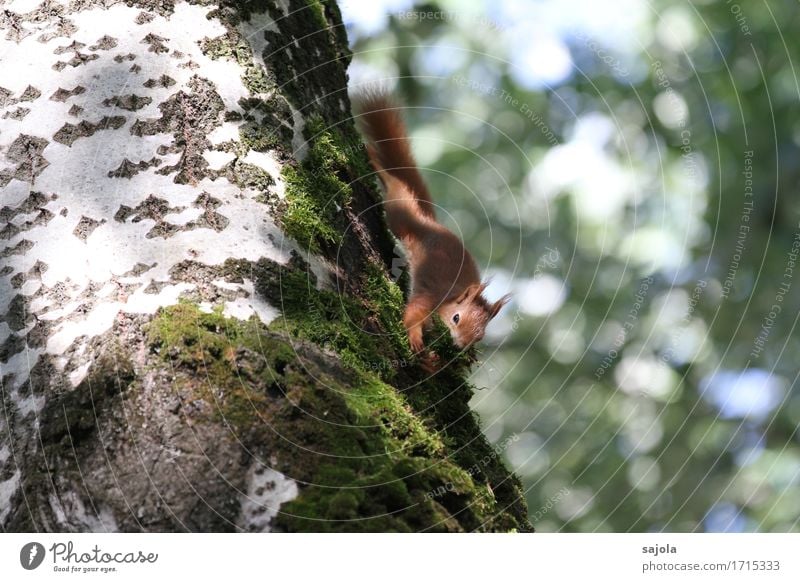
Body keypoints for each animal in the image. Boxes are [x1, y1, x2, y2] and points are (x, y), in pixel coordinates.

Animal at [354, 90, 510, 356]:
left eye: (480, 336)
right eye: (456, 318)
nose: (460, 345)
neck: (450, 296)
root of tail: (431, 222)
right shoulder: (430, 296)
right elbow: (412, 315)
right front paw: (415, 338)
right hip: (400, 213)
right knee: (395, 186)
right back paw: (379, 166)